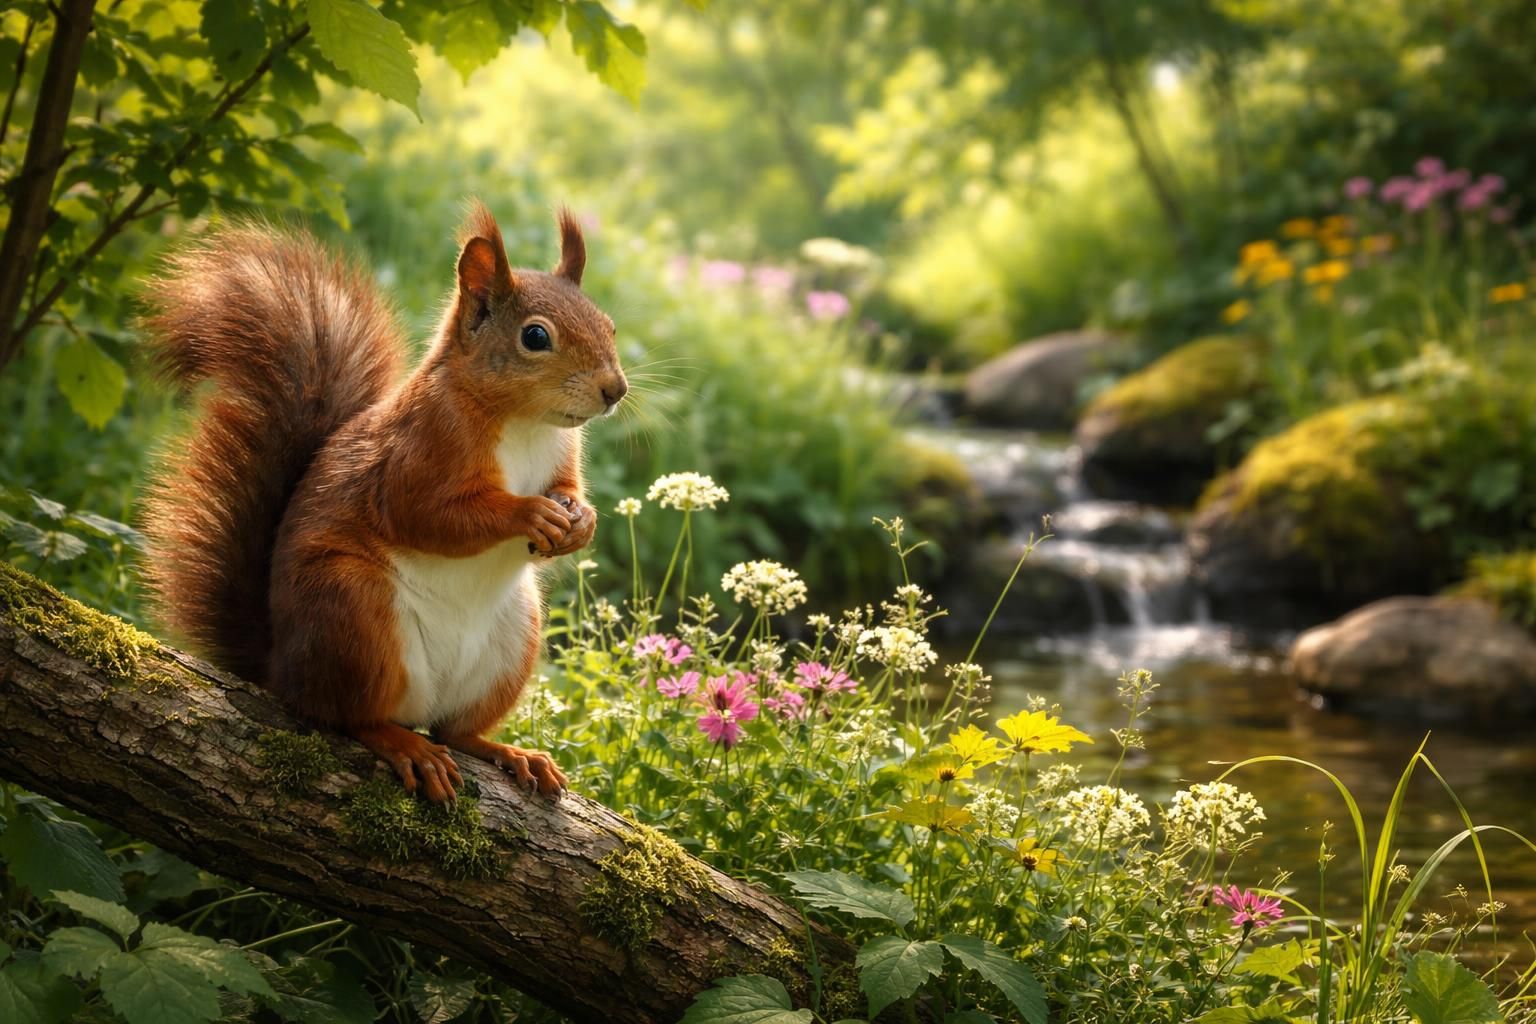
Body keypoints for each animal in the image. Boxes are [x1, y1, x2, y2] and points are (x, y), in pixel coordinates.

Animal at [139, 202, 626, 803]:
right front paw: (530, 513)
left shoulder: (563, 456)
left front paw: (581, 522)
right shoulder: (416, 454)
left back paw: (509, 752)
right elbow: (429, 516)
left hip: (514, 640)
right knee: (347, 716)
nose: (615, 389)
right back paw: (404, 745)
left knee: (456, 730)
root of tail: (280, 671)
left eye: (609, 325)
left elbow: (570, 491)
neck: (525, 423)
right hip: (354, 613)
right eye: (536, 336)